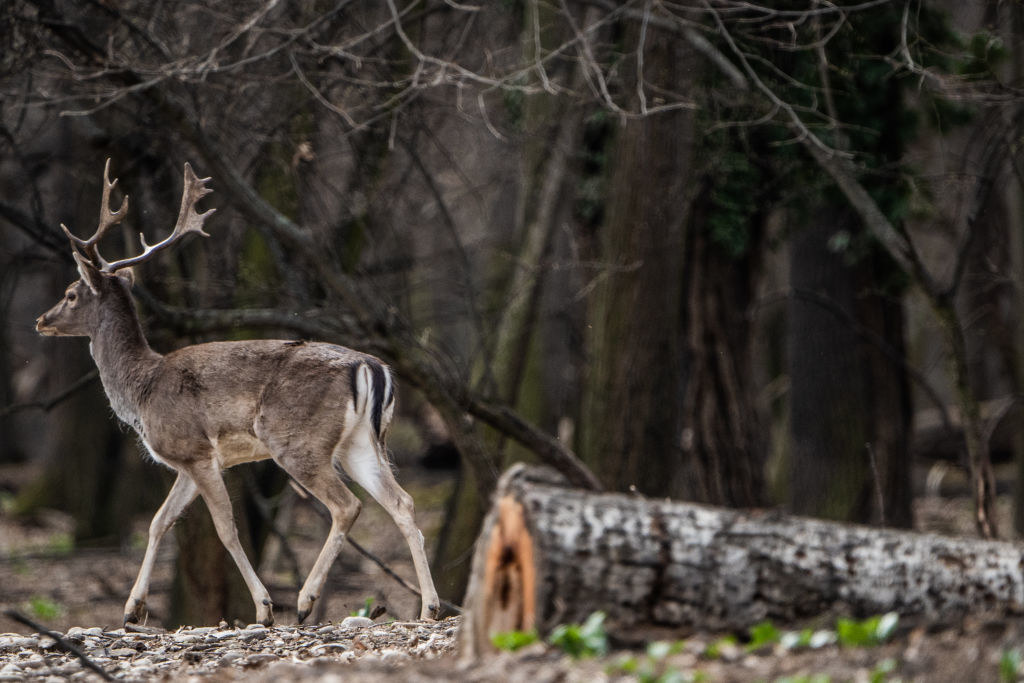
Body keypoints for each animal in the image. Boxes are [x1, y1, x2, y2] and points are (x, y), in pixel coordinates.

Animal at [34, 158, 442, 626]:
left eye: (70, 293)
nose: (41, 320)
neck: (140, 390)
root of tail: (373, 367)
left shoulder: (195, 450)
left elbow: (225, 528)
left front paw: (263, 607)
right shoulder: (188, 461)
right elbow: (159, 522)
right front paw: (132, 610)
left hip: (297, 440)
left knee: (346, 505)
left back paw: (304, 601)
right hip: (359, 443)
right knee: (402, 502)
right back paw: (430, 606)